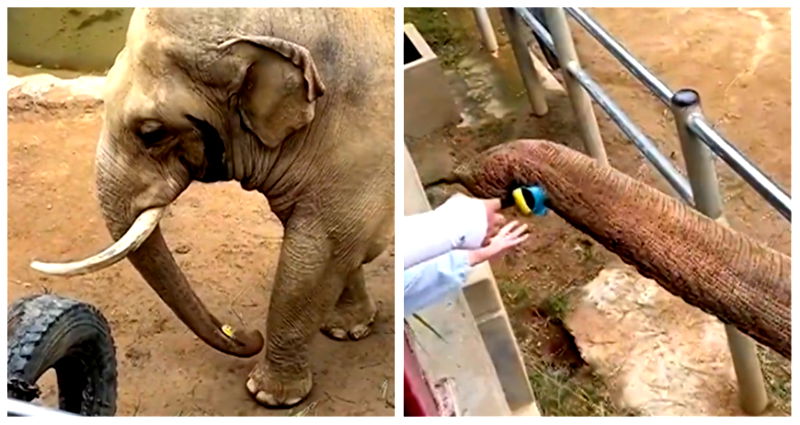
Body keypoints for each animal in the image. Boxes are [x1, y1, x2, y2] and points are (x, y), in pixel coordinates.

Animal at [32, 8, 396, 406]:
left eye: (151, 133)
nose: (248, 335)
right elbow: (343, 245)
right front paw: (347, 330)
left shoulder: (362, 143)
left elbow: (318, 251)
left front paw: (269, 396)